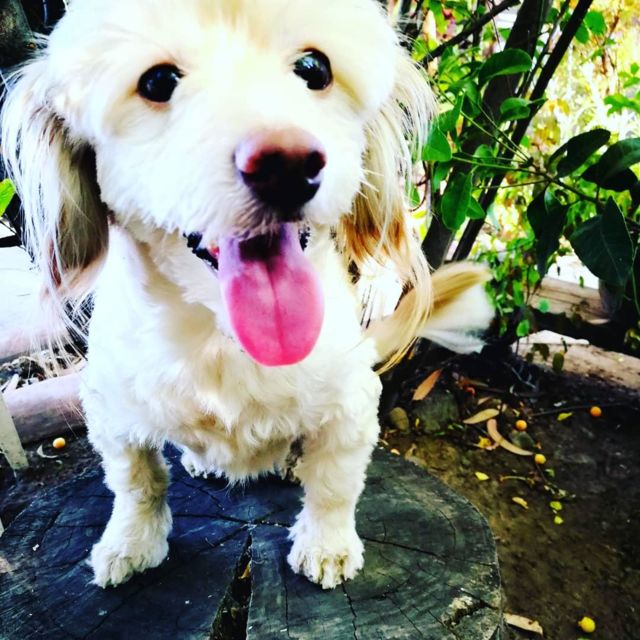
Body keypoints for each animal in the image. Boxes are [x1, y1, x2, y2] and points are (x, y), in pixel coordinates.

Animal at [1, 0, 493, 590]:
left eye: (314, 69)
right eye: (158, 80)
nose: (287, 163)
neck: (224, 337)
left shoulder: (350, 405)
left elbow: (334, 485)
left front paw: (326, 544)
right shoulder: (111, 410)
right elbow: (136, 482)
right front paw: (131, 544)